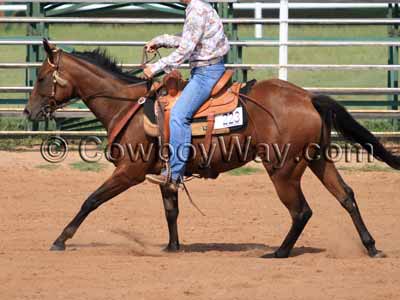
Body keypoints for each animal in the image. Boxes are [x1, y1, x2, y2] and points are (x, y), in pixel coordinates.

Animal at [24, 39, 396, 258]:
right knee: (346, 196)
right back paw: (371, 247)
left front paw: (61, 239)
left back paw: (278, 253)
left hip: (283, 170)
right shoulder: (164, 173)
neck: (127, 106)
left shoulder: (129, 172)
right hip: (318, 160)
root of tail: (307, 97)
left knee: (301, 211)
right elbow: (171, 209)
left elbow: (91, 200)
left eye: (41, 77)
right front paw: (173, 247)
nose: (28, 112)